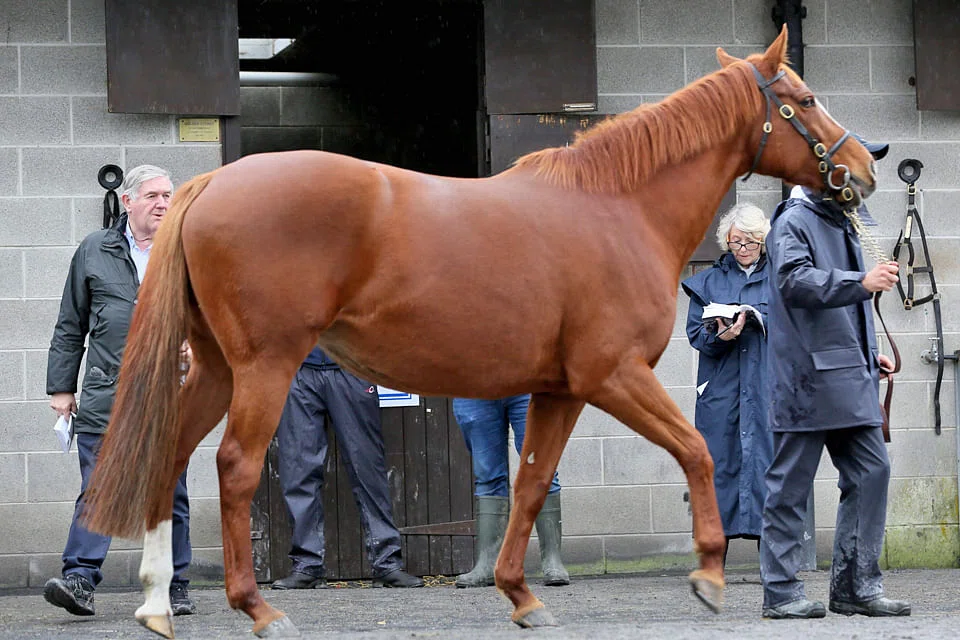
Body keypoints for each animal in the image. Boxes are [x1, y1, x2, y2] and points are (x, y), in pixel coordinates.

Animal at [83, 26, 877, 639]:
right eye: (805, 99)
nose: (864, 167)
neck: (618, 209)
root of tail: (211, 183)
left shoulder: (559, 391)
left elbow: (528, 485)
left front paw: (521, 595)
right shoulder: (614, 375)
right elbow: (698, 452)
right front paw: (710, 572)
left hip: (216, 368)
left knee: (167, 456)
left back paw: (157, 605)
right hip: (264, 368)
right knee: (235, 469)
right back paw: (258, 609)